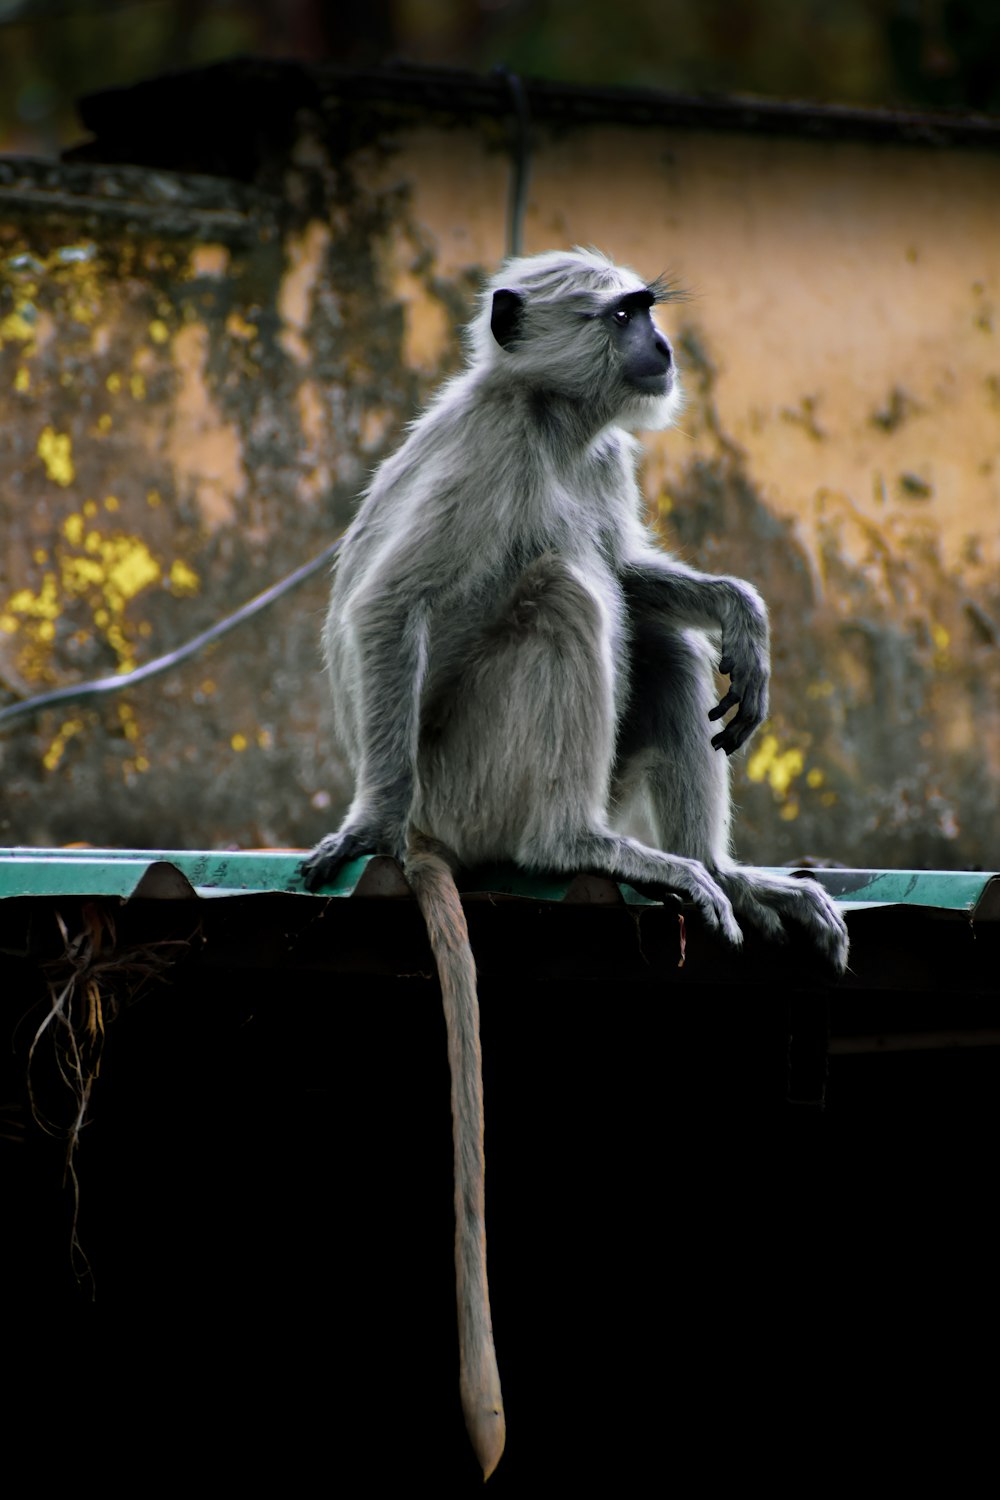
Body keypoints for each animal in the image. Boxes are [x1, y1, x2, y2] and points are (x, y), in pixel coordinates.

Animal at [302, 249, 845, 1476]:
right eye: (623, 315)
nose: (663, 349)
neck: (555, 423)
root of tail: (440, 833)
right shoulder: (494, 448)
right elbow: (385, 607)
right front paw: (361, 824)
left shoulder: (600, 456)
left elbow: (642, 579)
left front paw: (739, 610)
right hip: (467, 777)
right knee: (562, 592)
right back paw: (562, 841)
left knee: (654, 635)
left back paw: (720, 868)